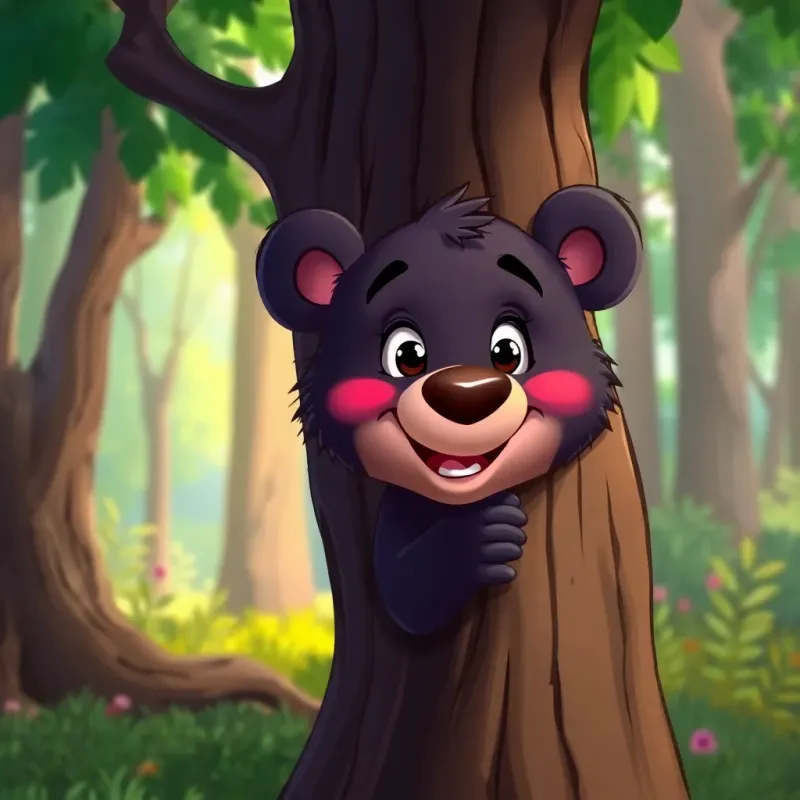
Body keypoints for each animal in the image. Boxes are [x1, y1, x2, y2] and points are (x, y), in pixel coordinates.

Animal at [255, 184, 642, 635]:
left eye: (508, 351)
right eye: (406, 354)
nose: (465, 393)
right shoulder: (402, 505)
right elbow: (407, 593)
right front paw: (483, 537)